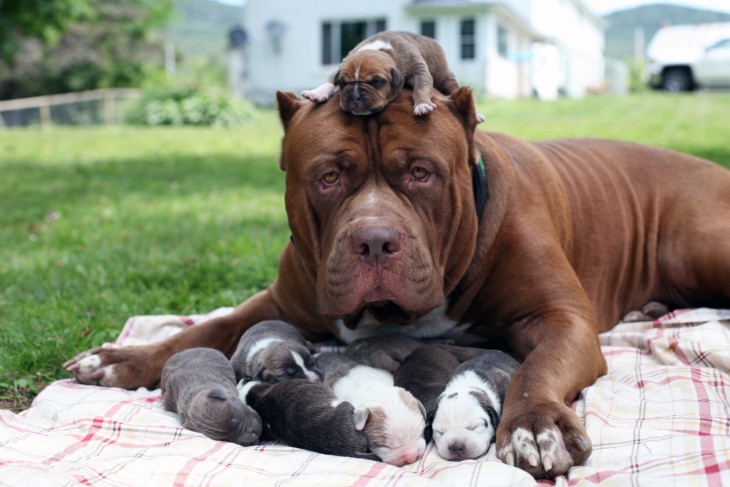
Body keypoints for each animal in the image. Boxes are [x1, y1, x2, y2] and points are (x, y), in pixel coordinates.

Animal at [300, 30, 478, 121]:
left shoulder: (419, 70)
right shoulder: (341, 65)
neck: (380, 49)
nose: (355, 97)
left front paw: (421, 105)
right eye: (343, 83)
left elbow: (421, 87)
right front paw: (316, 93)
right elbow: (330, 79)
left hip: (445, 77)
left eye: (376, 82)